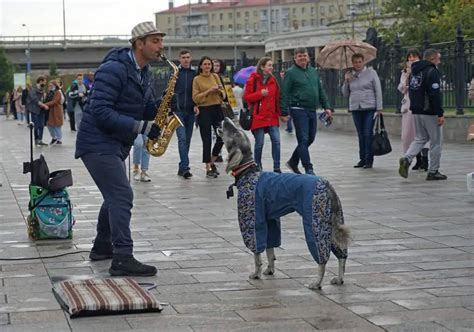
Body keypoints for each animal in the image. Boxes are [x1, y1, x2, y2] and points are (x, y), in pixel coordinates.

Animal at [218, 118, 348, 290]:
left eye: (235, 132)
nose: (226, 119)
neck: (249, 172)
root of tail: (326, 184)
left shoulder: (253, 219)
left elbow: (257, 254)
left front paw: (256, 274)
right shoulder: (270, 219)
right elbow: (270, 249)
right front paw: (270, 270)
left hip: (316, 221)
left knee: (322, 258)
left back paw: (317, 283)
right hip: (332, 222)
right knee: (342, 255)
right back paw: (339, 279)